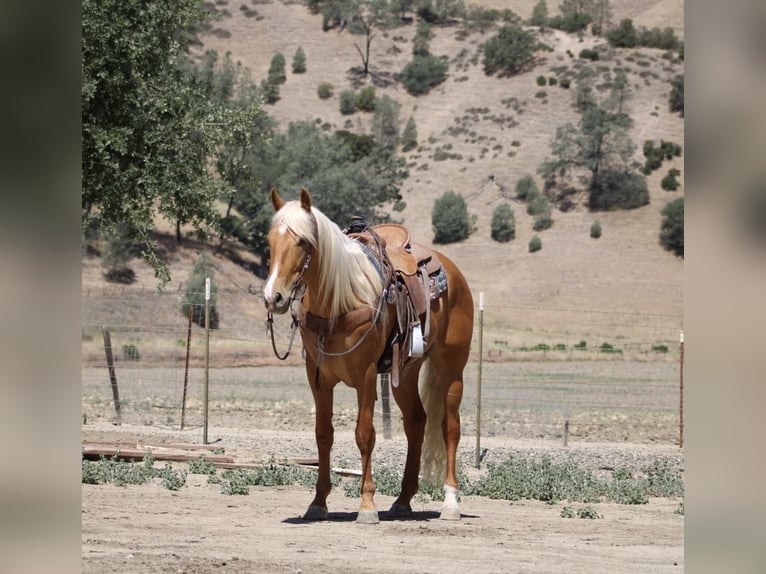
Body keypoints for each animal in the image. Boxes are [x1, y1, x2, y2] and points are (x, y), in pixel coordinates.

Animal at [263, 187, 474, 524]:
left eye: (303, 242)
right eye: (270, 241)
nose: (274, 297)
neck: (338, 301)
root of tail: (452, 271)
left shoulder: (364, 376)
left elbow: (365, 434)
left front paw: (366, 504)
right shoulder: (318, 378)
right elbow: (323, 434)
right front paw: (318, 503)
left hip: (451, 367)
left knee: (449, 426)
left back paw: (451, 502)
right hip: (405, 373)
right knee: (416, 422)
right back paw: (403, 500)